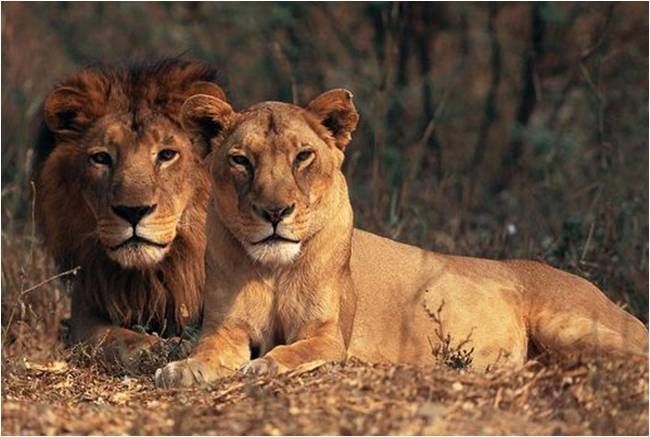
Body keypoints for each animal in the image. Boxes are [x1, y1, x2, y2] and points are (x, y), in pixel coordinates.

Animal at [35, 59, 226, 364]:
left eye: (166, 155)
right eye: (101, 158)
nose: (133, 212)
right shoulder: (85, 312)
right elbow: (114, 338)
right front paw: (157, 347)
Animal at [155, 89, 648, 388]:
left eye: (303, 157)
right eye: (241, 160)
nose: (275, 213)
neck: (274, 268)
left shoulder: (329, 335)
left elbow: (293, 351)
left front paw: (265, 364)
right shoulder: (226, 327)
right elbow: (208, 349)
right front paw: (183, 369)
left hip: (567, 324)